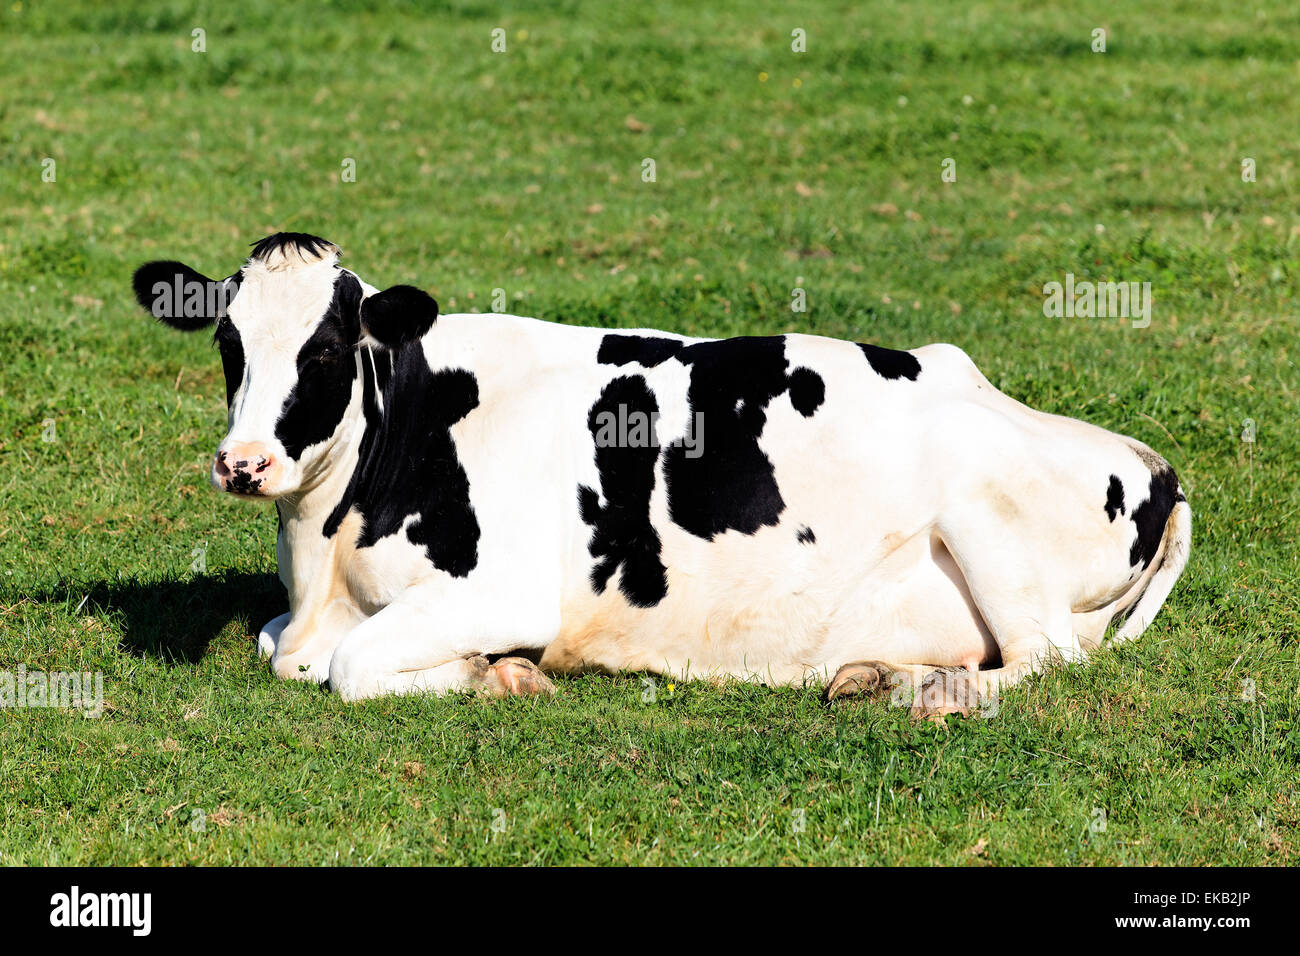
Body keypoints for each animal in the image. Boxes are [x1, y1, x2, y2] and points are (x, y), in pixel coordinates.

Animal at [131, 233, 1191, 716]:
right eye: (228, 343)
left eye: (326, 350)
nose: (243, 463)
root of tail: (1153, 463)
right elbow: (276, 645)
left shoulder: (505, 589)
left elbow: (346, 667)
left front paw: (495, 673)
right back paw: (872, 674)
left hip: (985, 509)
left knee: (1045, 658)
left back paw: (925, 692)